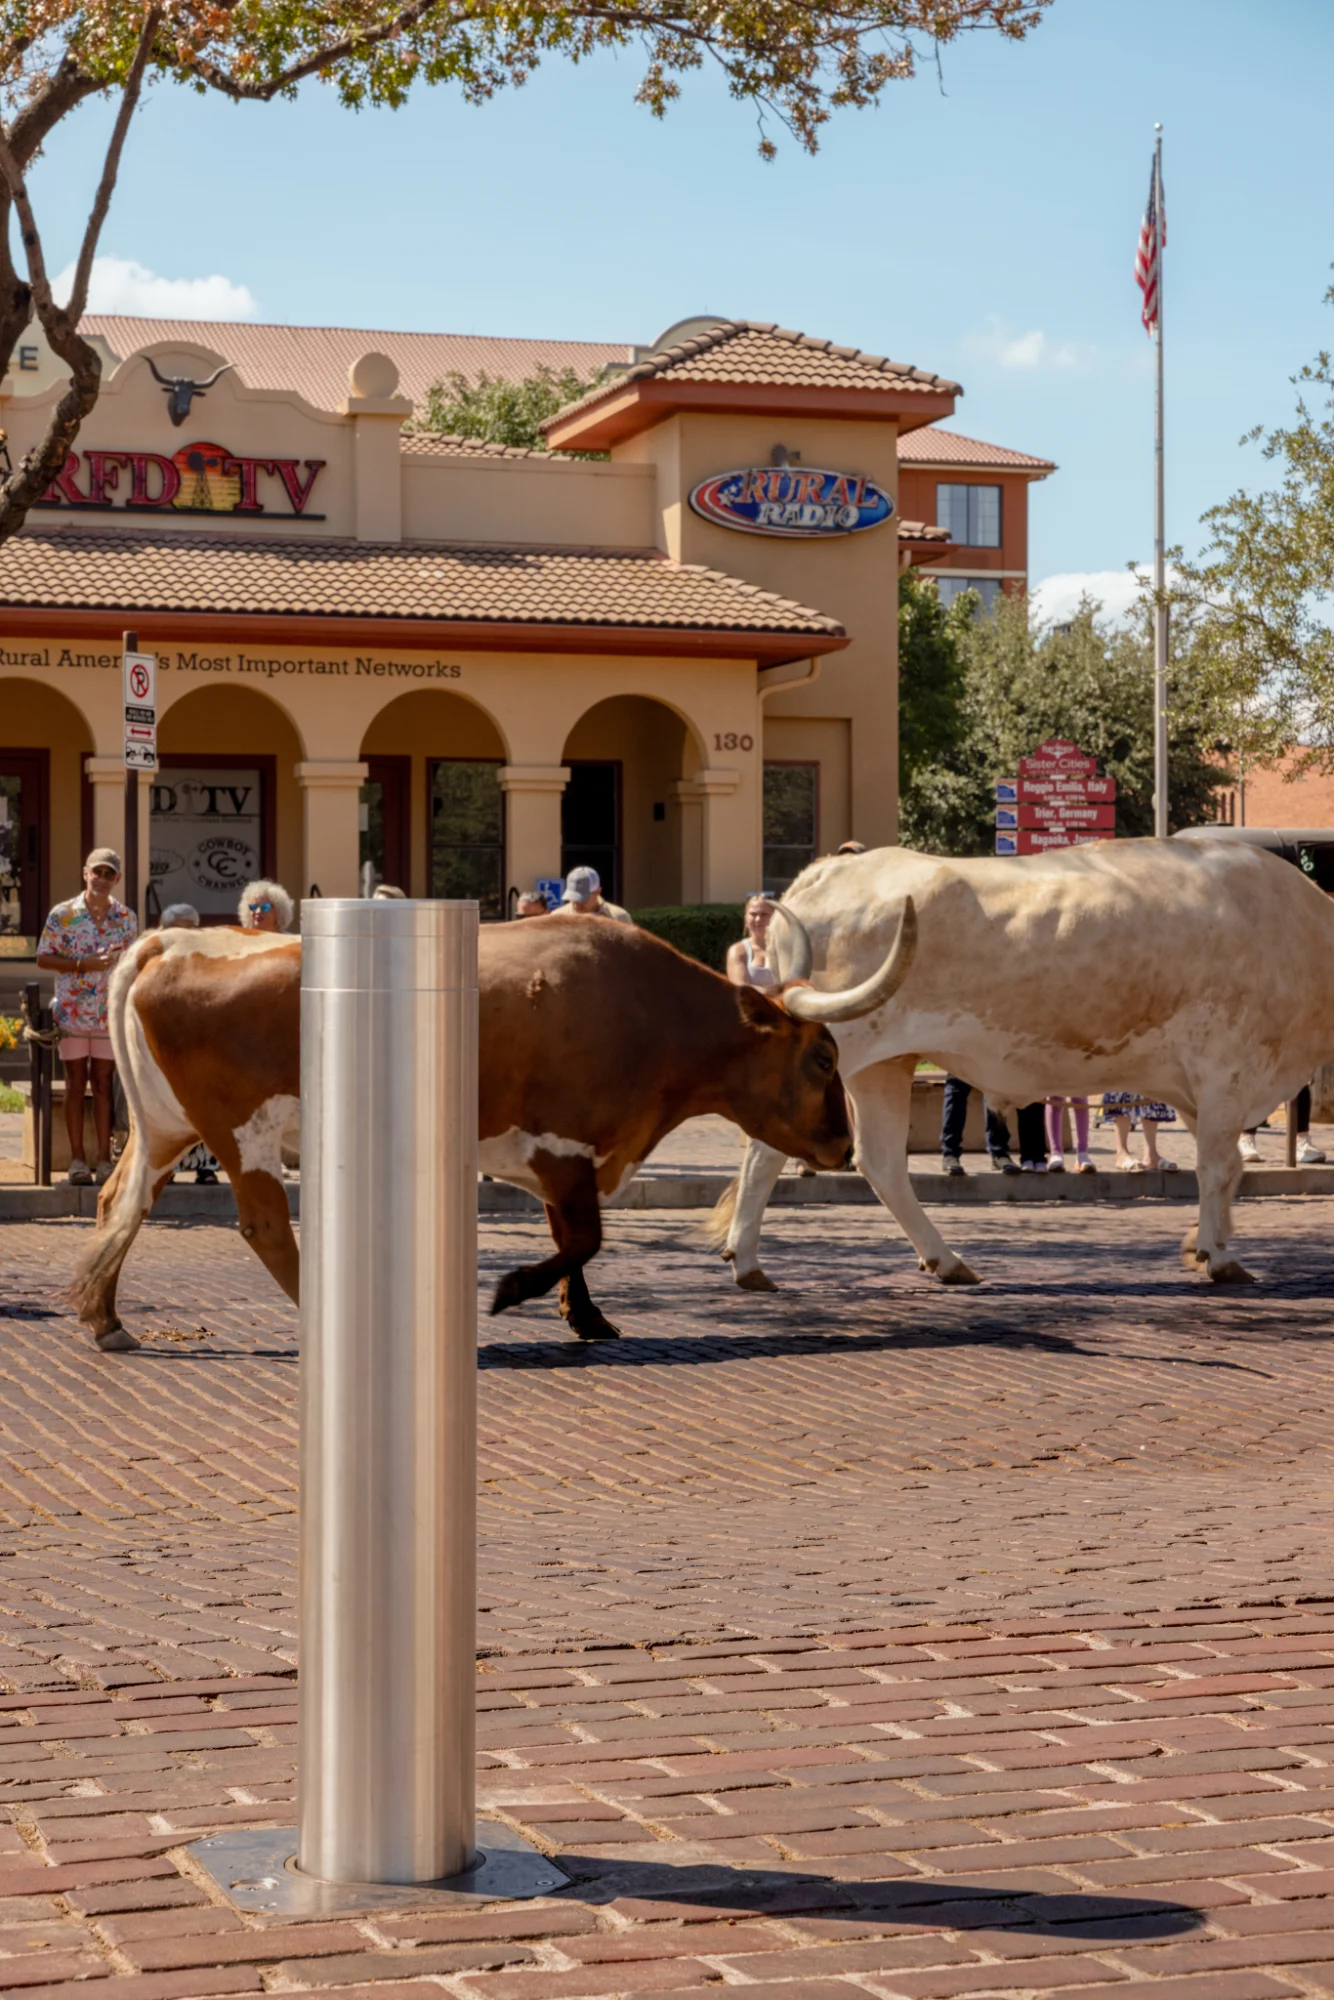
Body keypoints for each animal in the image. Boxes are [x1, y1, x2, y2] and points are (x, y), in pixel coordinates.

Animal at [71, 906, 915, 1352]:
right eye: (823, 1058)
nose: (842, 1145)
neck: (651, 1011)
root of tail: (171, 940)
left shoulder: (560, 1158)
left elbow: (574, 1242)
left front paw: (587, 1316)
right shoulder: (568, 1146)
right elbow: (583, 1240)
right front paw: (513, 1291)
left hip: (166, 1128)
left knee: (121, 1204)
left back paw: (105, 1317)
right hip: (243, 1136)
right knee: (265, 1226)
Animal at [716, 839, 1334, 1292]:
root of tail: (833, 869)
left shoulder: (1201, 1087)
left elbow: (1228, 1171)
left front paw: (1205, 1244)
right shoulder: (1228, 1068)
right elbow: (1217, 1167)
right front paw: (1220, 1257)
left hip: (882, 1063)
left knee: (882, 1162)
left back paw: (946, 1261)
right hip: (842, 1047)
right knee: (767, 1150)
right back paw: (747, 1261)